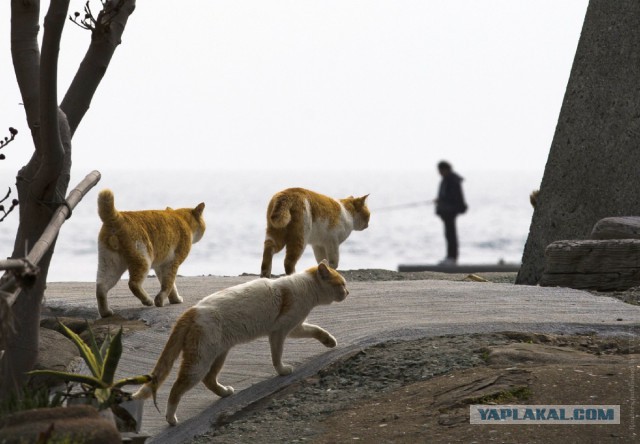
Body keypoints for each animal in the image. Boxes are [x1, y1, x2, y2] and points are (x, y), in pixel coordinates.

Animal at [95, 189, 205, 318]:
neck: (182, 220)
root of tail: (117, 216)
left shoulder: (161, 266)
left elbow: (170, 285)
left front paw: (174, 299)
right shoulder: (173, 262)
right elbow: (168, 284)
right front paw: (160, 300)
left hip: (110, 264)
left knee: (101, 288)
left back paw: (106, 312)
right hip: (143, 260)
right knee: (133, 284)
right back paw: (147, 300)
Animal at [132, 260, 348, 426]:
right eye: (342, 284)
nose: (348, 292)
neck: (306, 286)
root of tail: (190, 311)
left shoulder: (295, 327)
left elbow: (316, 329)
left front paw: (330, 341)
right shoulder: (279, 332)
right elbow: (277, 356)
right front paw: (282, 371)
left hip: (219, 353)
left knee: (209, 379)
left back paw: (224, 392)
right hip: (200, 361)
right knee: (177, 387)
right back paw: (171, 418)